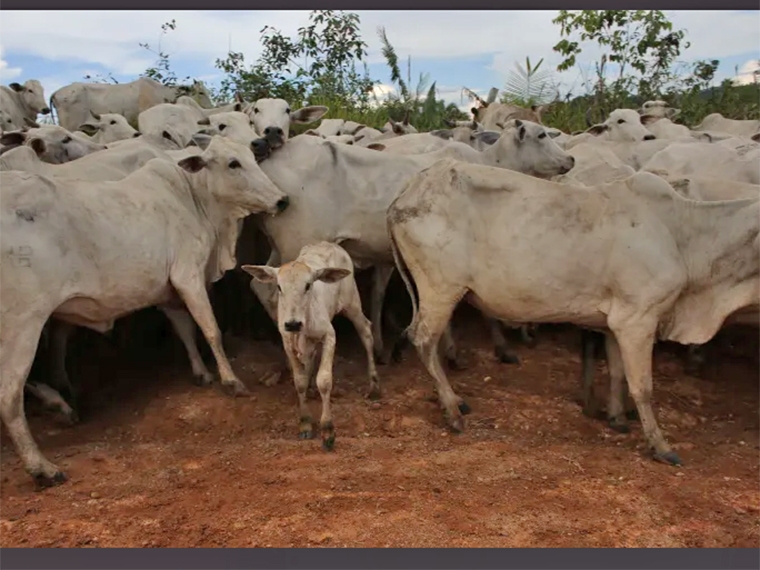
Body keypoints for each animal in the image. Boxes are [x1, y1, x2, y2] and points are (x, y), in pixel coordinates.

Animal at [0, 135, 290, 487]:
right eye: (233, 163)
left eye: (250, 155)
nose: (281, 200)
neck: (193, 196)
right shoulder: (187, 274)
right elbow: (210, 329)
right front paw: (230, 380)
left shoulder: (167, 287)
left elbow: (185, 328)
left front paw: (201, 373)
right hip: (23, 324)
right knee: (9, 396)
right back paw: (42, 465)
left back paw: (60, 407)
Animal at [242, 242, 380, 450]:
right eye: (279, 287)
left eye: (308, 285)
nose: (293, 324)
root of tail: (327, 243)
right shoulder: (288, 343)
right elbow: (300, 381)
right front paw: (305, 423)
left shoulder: (329, 335)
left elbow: (324, 380)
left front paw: (328, 430)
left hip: (352, 303)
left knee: (365, 331)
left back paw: (373, 384)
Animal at [387, 162, 758, 466]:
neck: (683, 234)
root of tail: (407, 190)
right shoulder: (638, 319)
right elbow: (643, 387)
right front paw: (660, 445)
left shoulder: (616, 324)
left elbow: (617, 373)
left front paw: (616, 418)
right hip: (441, 287)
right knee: (422, 339)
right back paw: (452, 410)